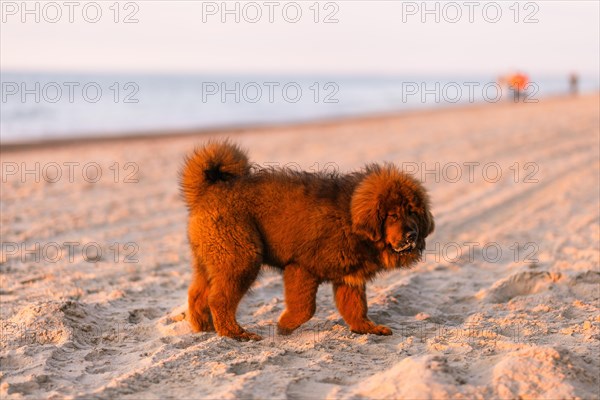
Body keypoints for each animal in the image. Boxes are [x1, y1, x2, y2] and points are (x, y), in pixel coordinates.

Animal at [180, 141, 434, 340]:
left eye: (413, 212)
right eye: (392, 215)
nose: (411, 235)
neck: (350, 218)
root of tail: (208, 189)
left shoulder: (349, 277)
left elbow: (356, 308)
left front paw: (367, 329)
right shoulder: (303, 268)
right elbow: (306, 308)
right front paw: (284, 326)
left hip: (213, 259)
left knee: (198, 294)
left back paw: (204, 328)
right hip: (242, 258)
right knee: (219, 299)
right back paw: (235, 333)